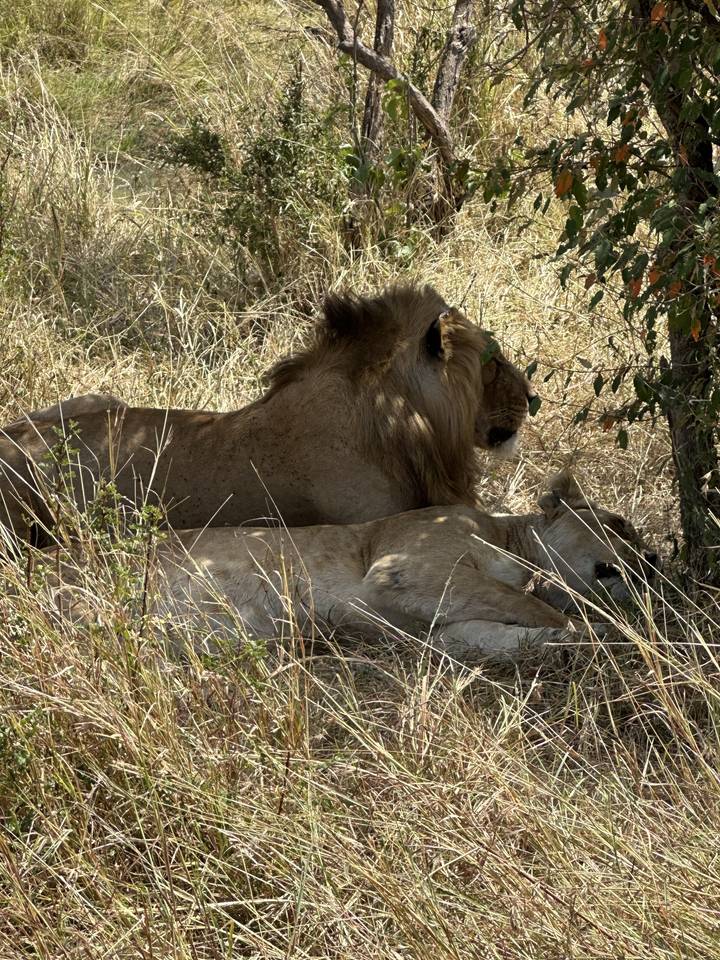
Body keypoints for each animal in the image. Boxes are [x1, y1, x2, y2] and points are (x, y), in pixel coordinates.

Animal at [47, 472, 659, 661]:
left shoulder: (450, 632)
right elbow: (537, 608)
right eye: (618, 523)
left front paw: (604, 637)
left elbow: (528, 632)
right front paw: (611, 633)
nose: (653, 562)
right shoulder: (402, 568)